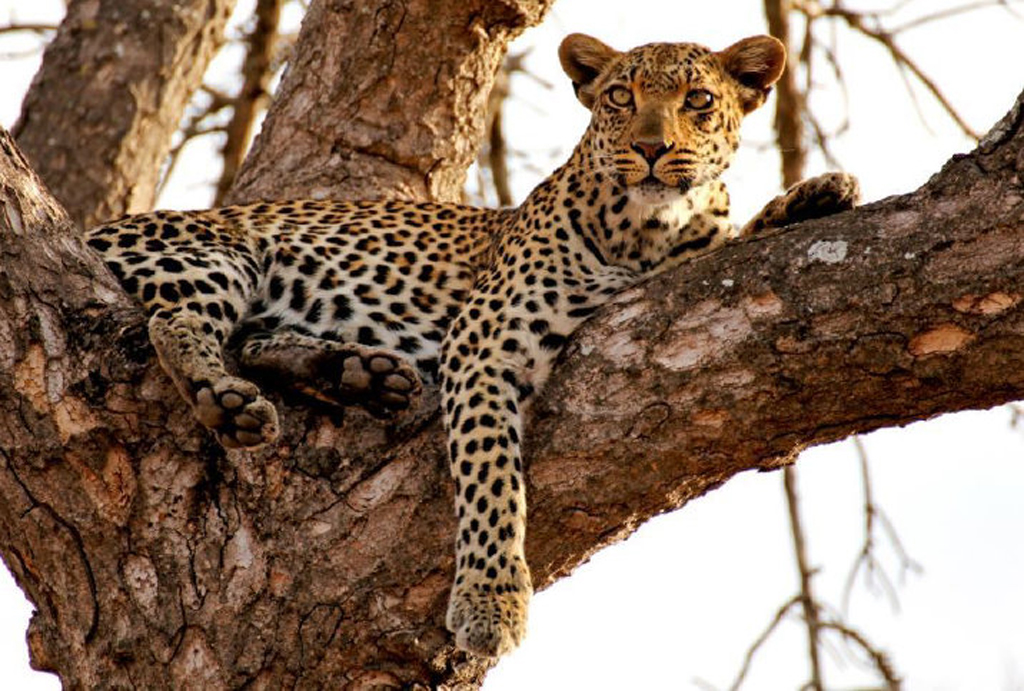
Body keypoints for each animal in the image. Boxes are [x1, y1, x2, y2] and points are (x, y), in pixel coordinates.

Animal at [86, 32, 856, 659]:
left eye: (698, 100)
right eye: (620, 97)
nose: (649, 149)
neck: (648, 233)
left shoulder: (690, 260)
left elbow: (735, 236)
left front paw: (814, 194)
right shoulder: (487, 344)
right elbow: (492, 484)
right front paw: (491, 602)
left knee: (250, 339)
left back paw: (355, 372)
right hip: (221, 250)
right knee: (176, 323)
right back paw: (228, 398)